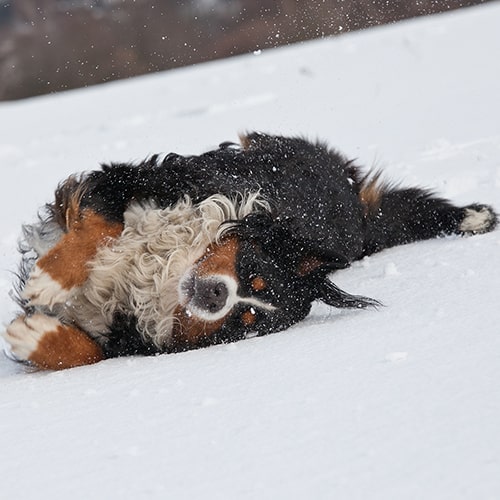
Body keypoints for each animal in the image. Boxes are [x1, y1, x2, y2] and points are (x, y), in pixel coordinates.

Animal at [2, 132, 496, 368]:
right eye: (249, 266)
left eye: (248, 317)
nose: (216, 295)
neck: (167, 269)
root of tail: (355, 211)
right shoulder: (134, 183)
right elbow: (99, 228)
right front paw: (50, 280)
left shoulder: (126, 336)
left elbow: (90, 352)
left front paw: (35, 336)